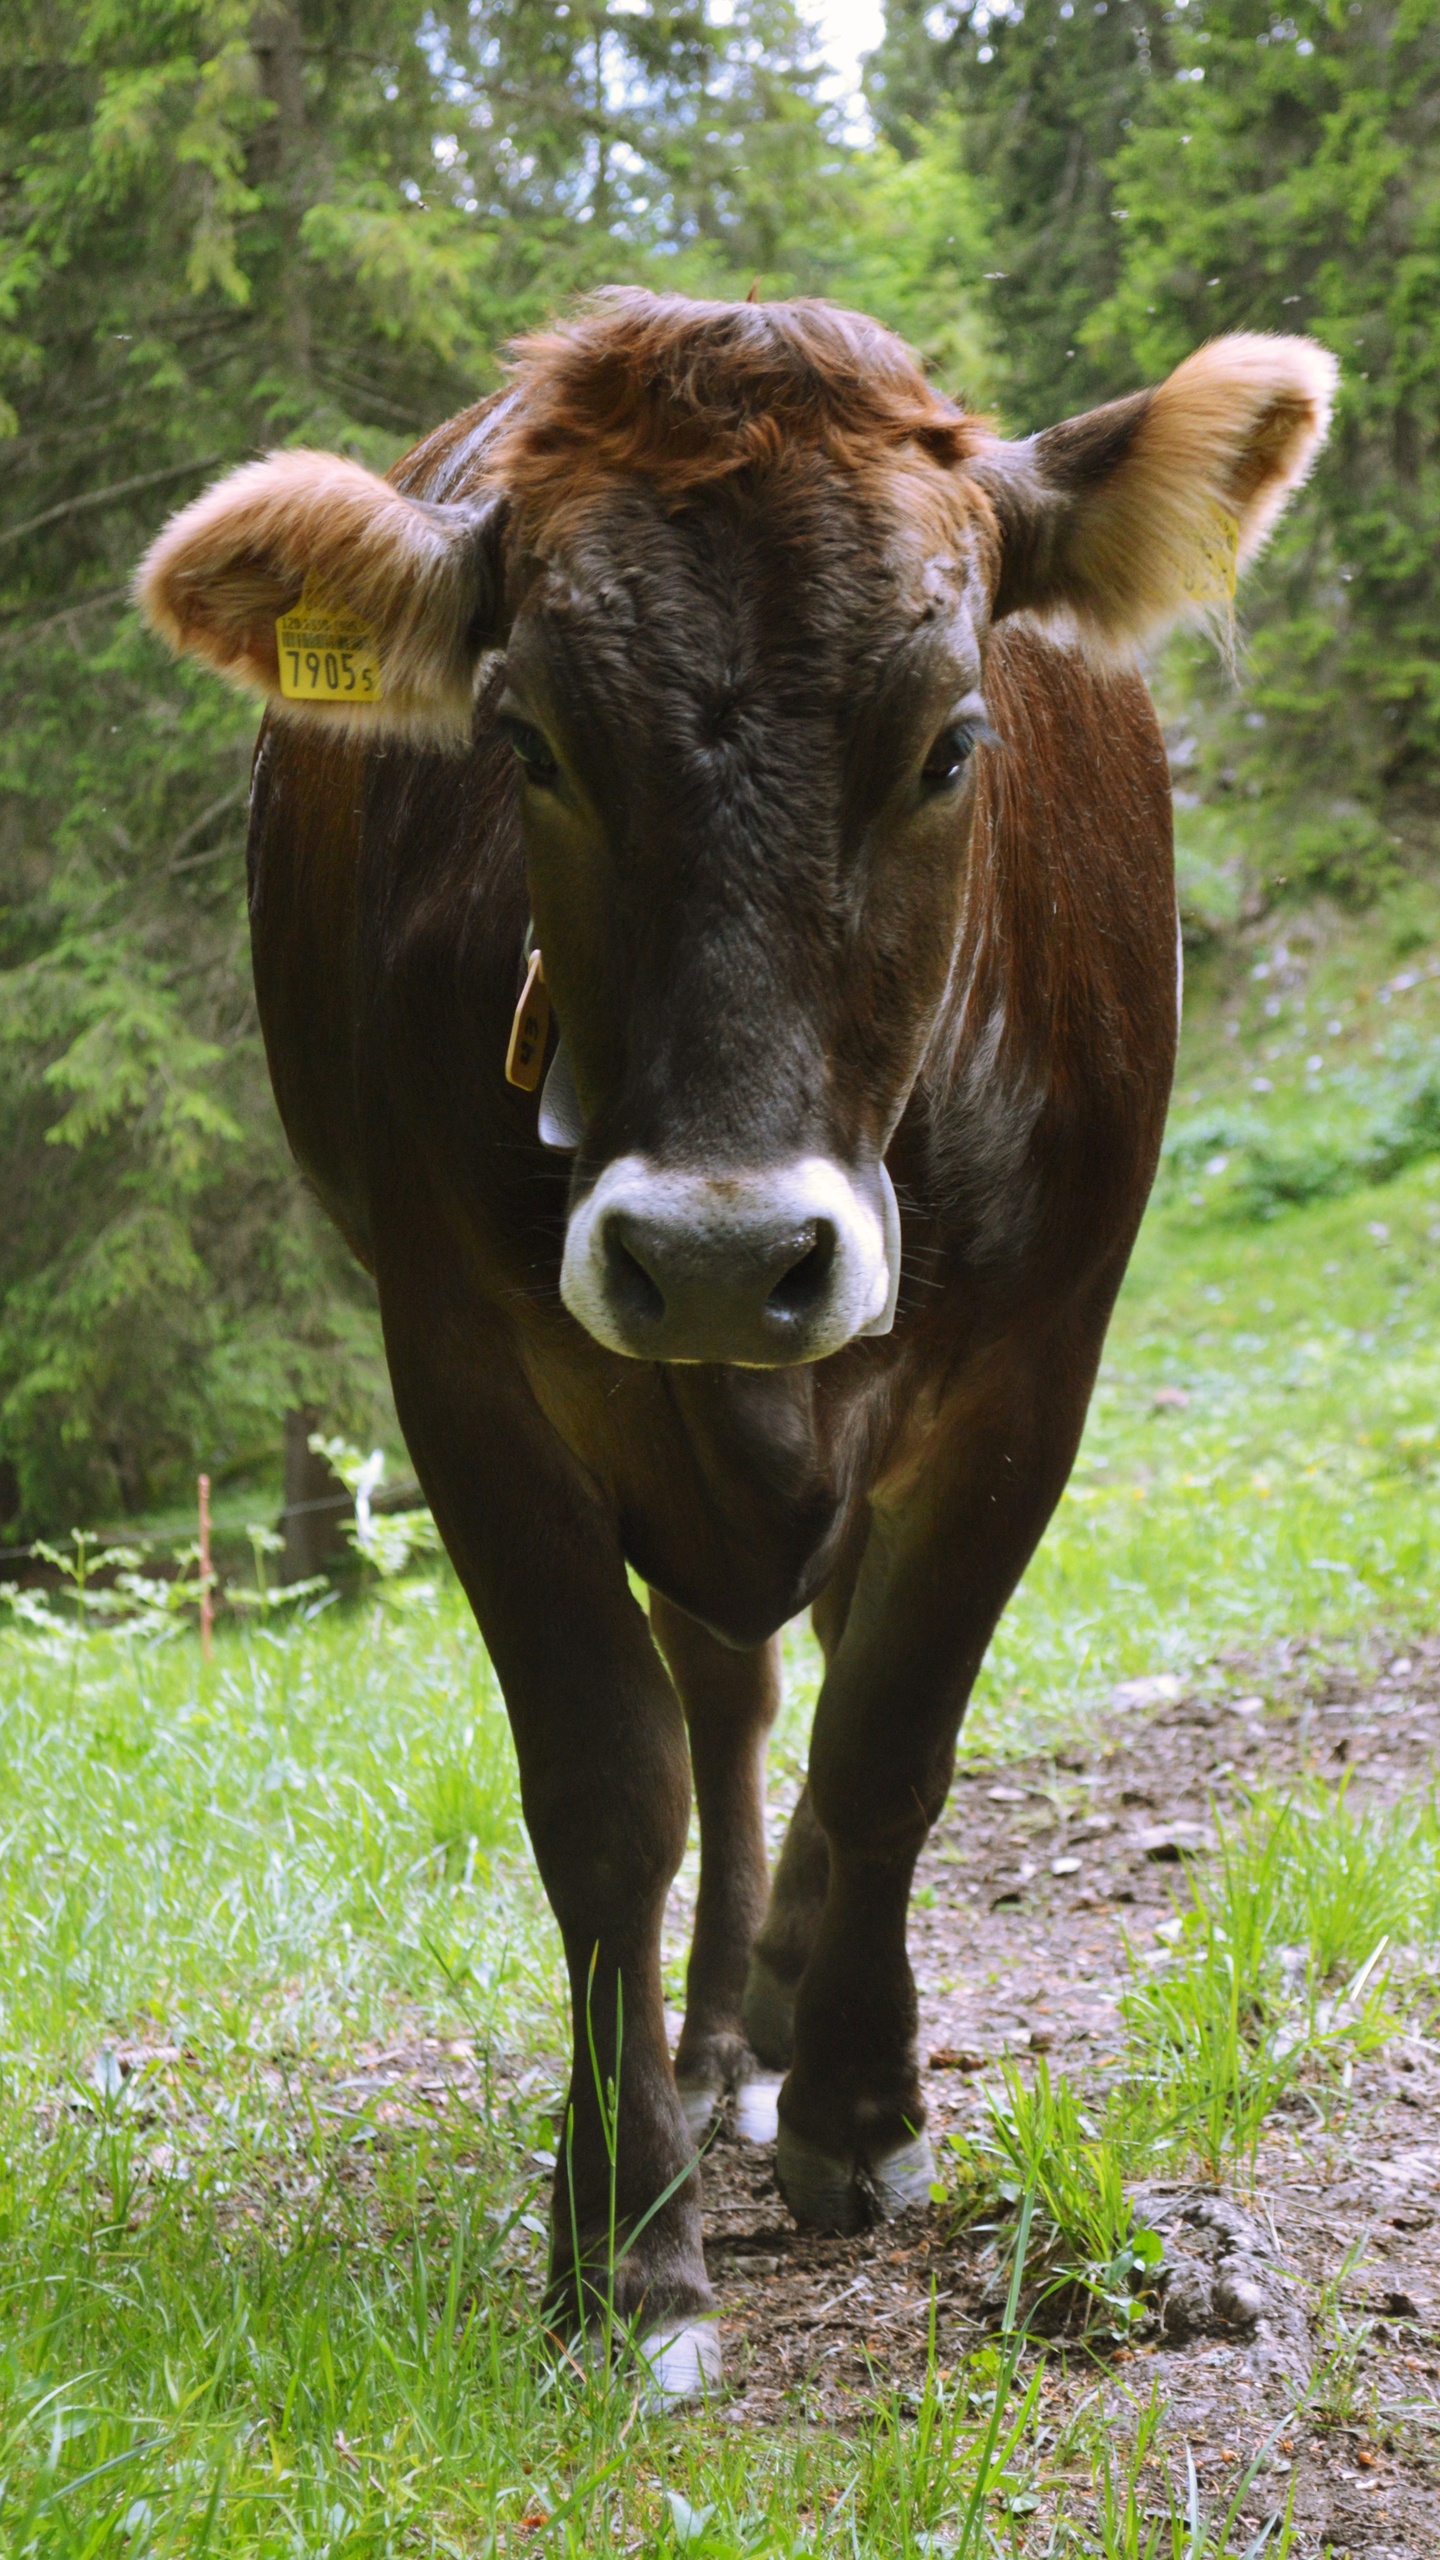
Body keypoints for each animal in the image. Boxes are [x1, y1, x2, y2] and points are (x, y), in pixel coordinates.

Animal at [140, 299, 1332, 2396]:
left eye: (951, 742)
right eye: (528, 738)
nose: (718, 1255)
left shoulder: (1037, 1359)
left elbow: (894, 1736)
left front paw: (859, 2111)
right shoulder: (466, 1361)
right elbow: (614, 1786)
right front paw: (626, 2236)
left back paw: (782, 2032)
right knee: (723, 1695)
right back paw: (711, 2051)